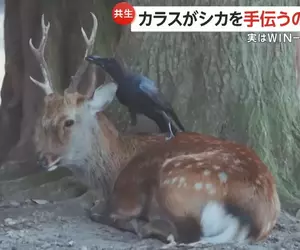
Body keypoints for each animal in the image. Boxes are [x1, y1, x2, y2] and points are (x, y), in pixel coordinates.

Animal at [29, 12, 280, 246]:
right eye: (43, 120)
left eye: (69, 121)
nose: (43, 158)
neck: (114, 169)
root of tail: (249, 219)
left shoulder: (127, 194)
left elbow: (101, 211)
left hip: (176, 180)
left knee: (185, 233)